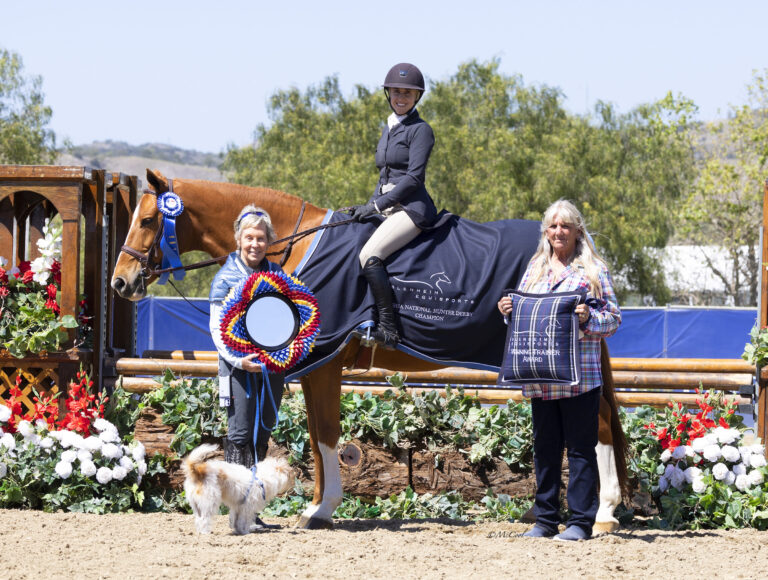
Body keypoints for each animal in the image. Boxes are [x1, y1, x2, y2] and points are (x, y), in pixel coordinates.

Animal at [112, 170, 632, 532]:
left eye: (147, 220)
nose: (120, 283)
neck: (296, 251)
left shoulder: (322, 362)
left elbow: (326, 435)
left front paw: (321, 510)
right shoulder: (314, 366)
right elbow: (317, 441)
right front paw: (316, 507)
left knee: (600, 424)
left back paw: (603, 515)